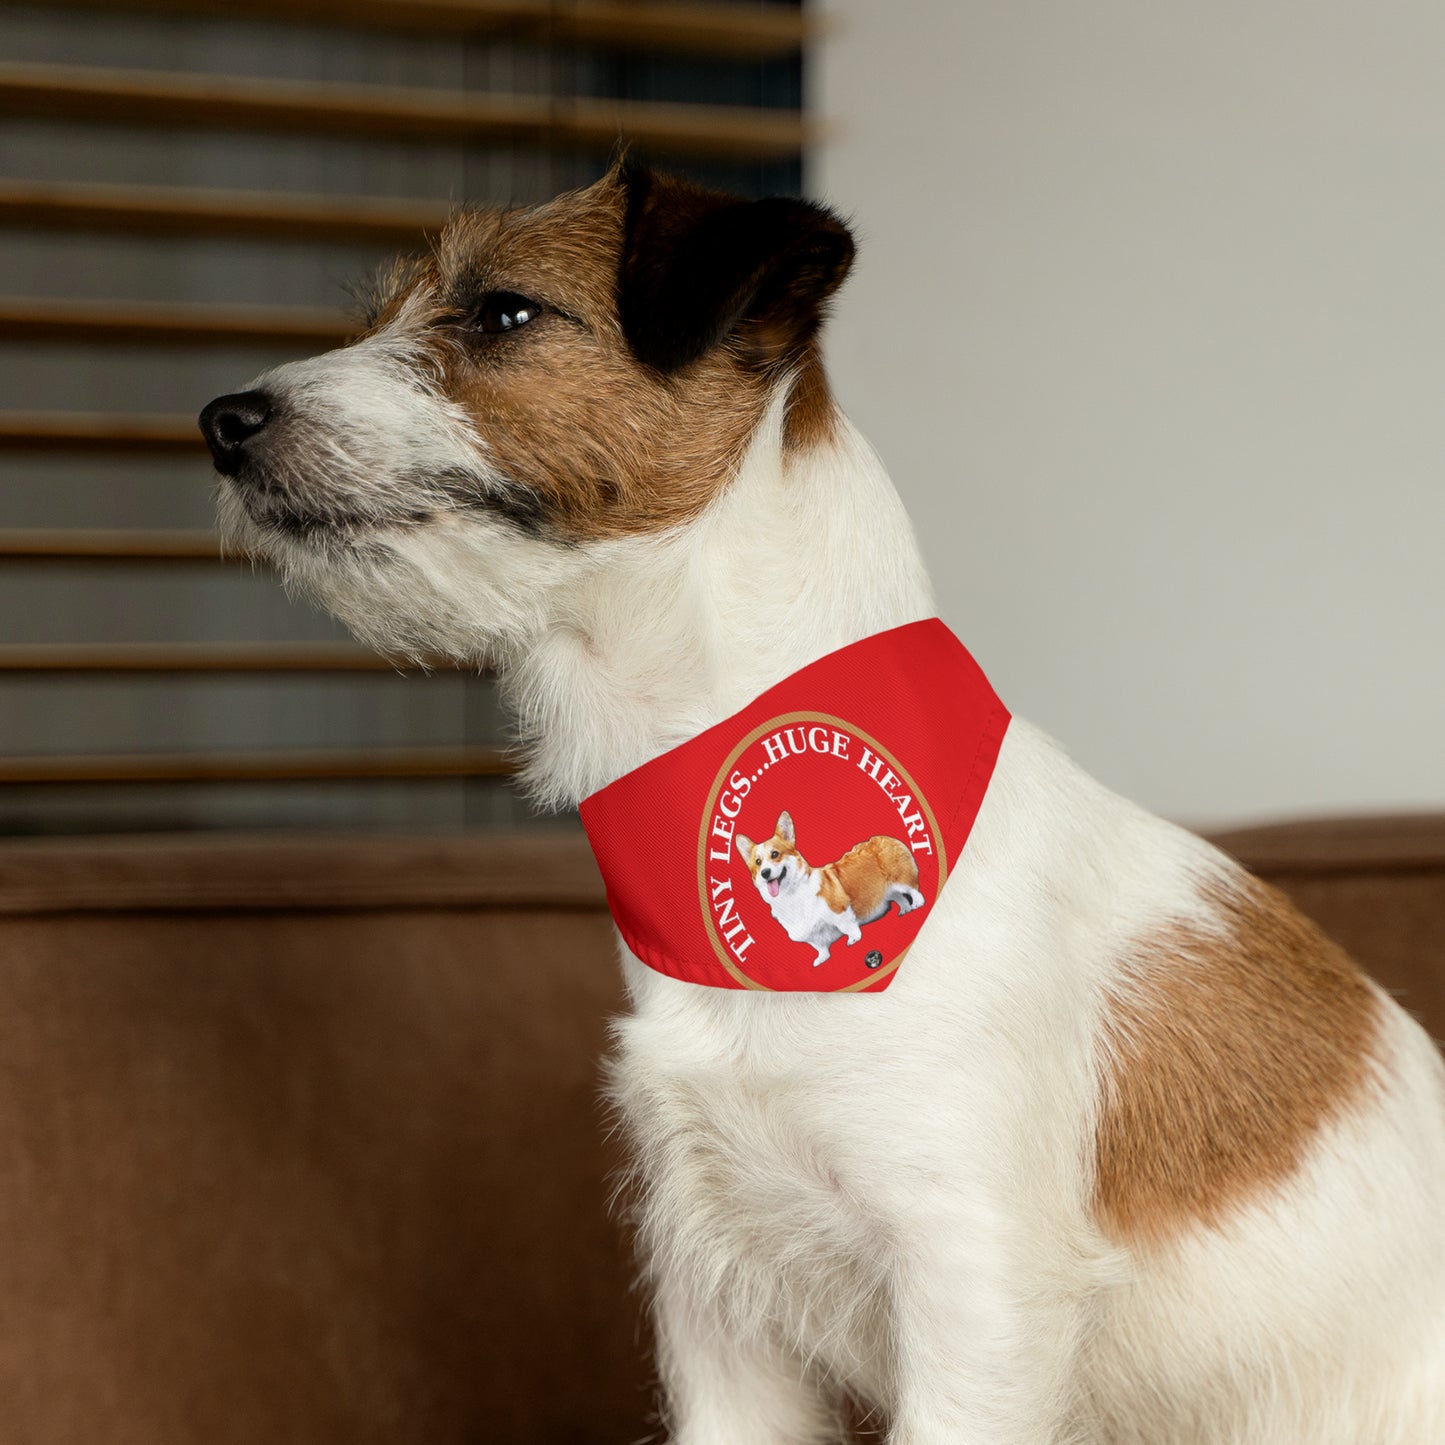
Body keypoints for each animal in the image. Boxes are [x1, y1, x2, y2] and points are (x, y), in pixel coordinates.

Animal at [739, 809, 919, 965]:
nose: (765, 873)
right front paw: (822, 959)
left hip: (900, 880)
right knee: (899, 897)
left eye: (775, 854)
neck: (790, 895)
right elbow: (819, 947)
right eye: (758, 862)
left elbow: (846, 926)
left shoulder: (839, 910)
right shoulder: (812, 935)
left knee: (913, 890)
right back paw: (905, 909)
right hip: (889, 890)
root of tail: (883, 837)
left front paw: (854, 938)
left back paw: (917, 904)